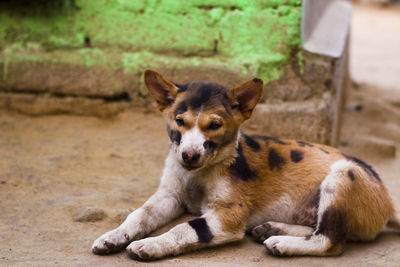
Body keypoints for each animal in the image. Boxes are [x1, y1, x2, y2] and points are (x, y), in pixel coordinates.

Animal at [91, 69, 400, 262]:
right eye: (179, 121)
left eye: (214, 125)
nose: (189, 156)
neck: (202, 173)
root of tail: (388, 205)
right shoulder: (169, 196)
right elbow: (138, 215)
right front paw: (113, 236)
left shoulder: (228, 216)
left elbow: (186, 229)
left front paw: (149, 245)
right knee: (321, 231)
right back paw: (273, 229)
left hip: (343, 176)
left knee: (330, 241)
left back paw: (281, 243)